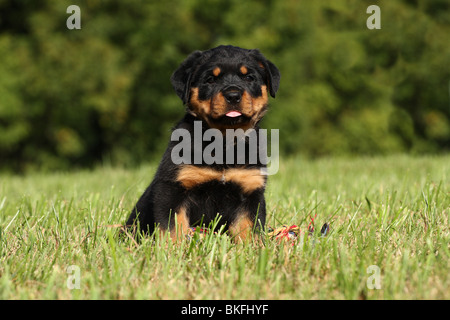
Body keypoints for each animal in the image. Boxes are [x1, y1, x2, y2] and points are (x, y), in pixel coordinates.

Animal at [126, 44, 280, 240]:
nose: (233, 95)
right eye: (210, 79)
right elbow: (172, 228)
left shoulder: (250, 190)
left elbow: (247, 229)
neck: (224, 142)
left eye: (249, 77)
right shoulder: (172, 188)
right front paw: (173, 247)